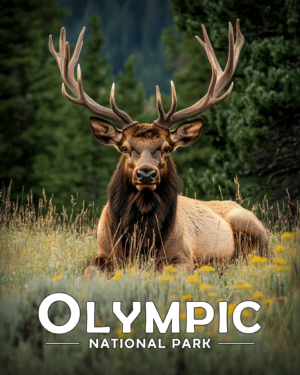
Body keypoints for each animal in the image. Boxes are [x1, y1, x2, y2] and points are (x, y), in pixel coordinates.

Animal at [49, 21, 270, 280]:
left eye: (166, 148)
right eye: (125, 148)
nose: (146, 173)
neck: (140, 242)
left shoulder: (183, 258)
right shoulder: (104, 252)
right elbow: (89, 273)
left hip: (251, 225)